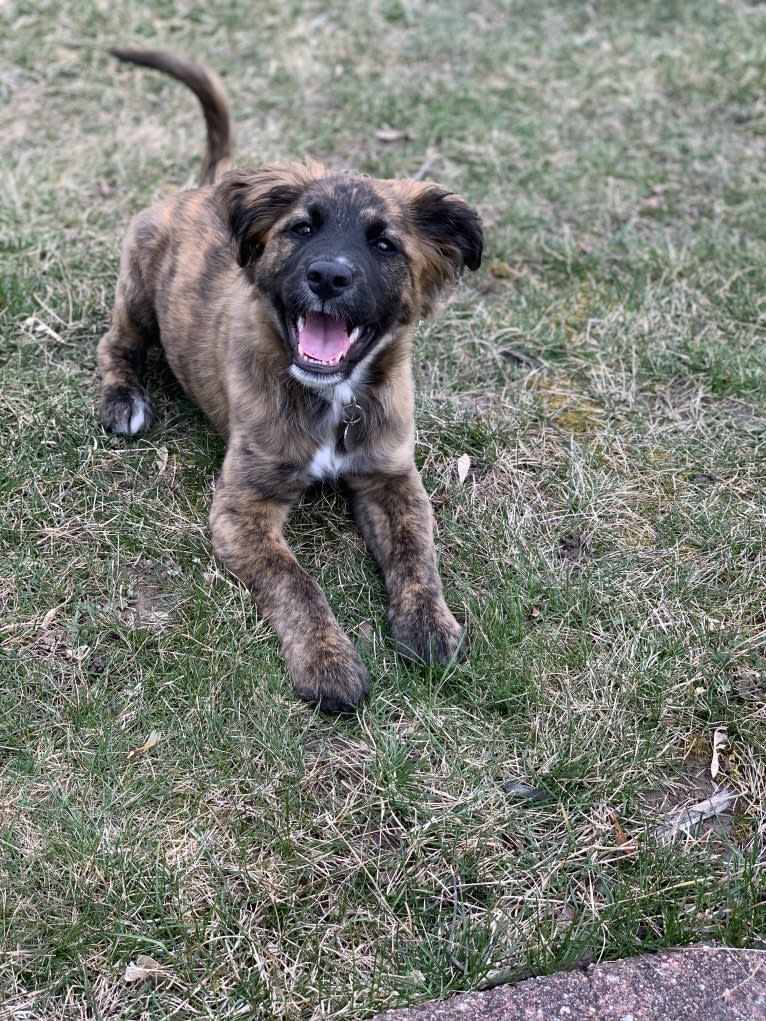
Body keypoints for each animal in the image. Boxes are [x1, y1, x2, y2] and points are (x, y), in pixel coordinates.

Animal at [99, 49, 482, 710]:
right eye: (302, 228)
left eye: (384, 244)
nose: (329, 276)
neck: (333, 399)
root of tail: (202, 188)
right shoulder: (243, 507)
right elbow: (296, 581)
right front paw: (328, 662)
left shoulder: (392, 478)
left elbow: (417, 554)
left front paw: (430, 624)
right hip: (139, 291)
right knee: (115, 344)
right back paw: (123, 398)